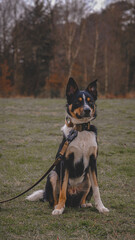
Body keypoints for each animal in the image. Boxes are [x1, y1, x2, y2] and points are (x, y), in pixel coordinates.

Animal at [26, 78, 109, 215]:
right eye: (77, 101)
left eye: (90, 101)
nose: (87, 110)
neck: (81, 130)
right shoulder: (65, 161)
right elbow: (63, 189)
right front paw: (60, 208)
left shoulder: (93, 162)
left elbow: (97, 189)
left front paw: (101, 207)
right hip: (52, 175)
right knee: (55, 198)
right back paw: (56, 206)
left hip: (87, 177)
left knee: (82, 199)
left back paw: (85, 204)